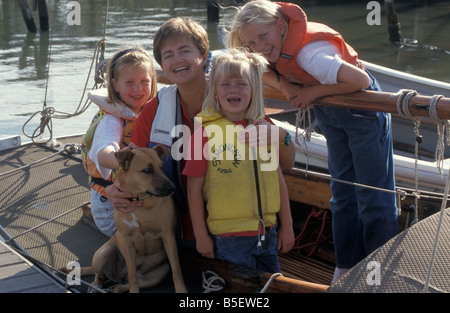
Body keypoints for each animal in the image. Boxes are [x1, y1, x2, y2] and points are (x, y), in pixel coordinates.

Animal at [78, 146, 185, 292]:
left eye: (162, 167)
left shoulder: (168, 236)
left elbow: (177, 270)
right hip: (102, 255)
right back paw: (95, 285)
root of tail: (121, 276)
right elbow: (132, 274)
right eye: (147, 170)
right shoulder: (126, 239)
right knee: (101, 275)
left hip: (160, 272)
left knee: (121, 286)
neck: (139, 200)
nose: (172, 188)